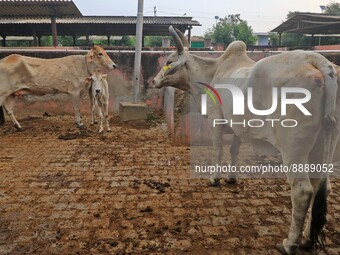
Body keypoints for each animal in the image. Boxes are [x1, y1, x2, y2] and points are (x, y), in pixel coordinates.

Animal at [153, 26, 340, 255]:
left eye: (170, 60)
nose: (154, 81)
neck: (212, 73)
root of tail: (318, 60)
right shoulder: (237, 127)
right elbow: (233, 150)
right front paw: (231, 178)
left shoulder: (215, 120)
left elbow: (218, 152)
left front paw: (215, 179)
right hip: (323, 147)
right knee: (322, 187)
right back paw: (306, 239)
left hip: (293, 149)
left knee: (302, 191)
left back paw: (289, 243)